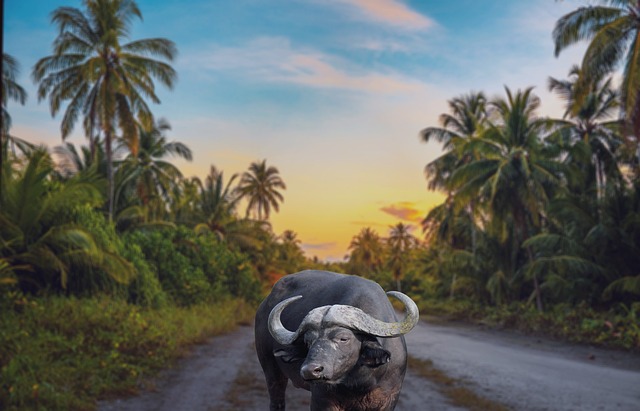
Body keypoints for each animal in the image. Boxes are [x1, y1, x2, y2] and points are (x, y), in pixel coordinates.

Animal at [255, 270, 420, 411]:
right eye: (308, 342)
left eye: (343, 338)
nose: (310, 370)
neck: (361, 382)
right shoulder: (322, 400)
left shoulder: (389, 398)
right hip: (270, 369)